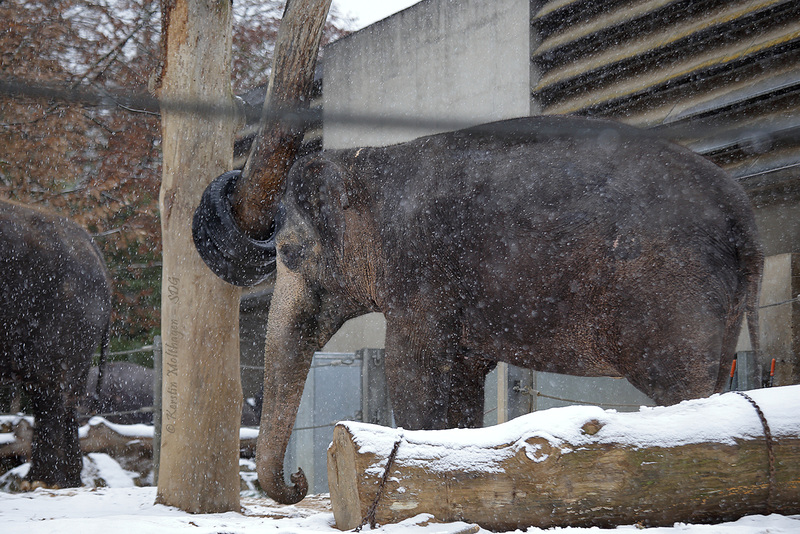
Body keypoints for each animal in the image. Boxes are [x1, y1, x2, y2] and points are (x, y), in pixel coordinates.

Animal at [194, 115, 764, 504]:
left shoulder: (420, 270)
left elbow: (411, 371)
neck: (370, 160)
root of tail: (743, 211)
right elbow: (463, 380)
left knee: (680, 388)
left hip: (671, 292)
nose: (299, 480)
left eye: (289, 253)